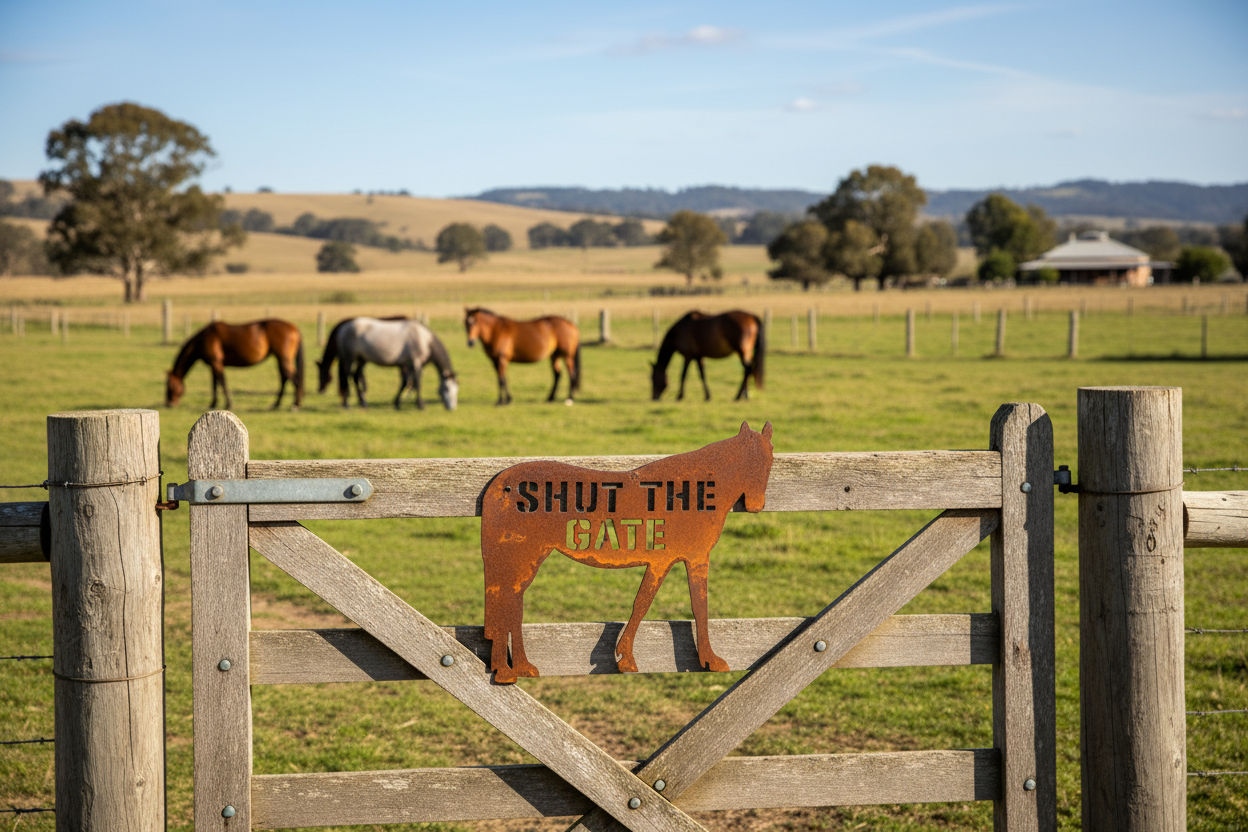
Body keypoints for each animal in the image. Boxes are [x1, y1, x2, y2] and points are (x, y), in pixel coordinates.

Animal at [166, 319, 303, 410]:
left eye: (170, 387)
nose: (169, 404)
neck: (204, 338)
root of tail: (294, 328)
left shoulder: (216, 363)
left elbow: (222, 382)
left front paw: (228, 404)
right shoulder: (213, 366)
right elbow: (215, 384)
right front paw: (213, 404)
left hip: (283, 359)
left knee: (294, 380)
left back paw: (295, 405)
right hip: (281, 360)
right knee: (285, 379)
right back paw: (276, 404)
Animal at [316, 317, 458, 410]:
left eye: (457, 390)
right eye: (447, 388)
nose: (452, 408)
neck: (424, 339)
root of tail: (343, 328)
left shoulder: (408, 365)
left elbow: (407, 383)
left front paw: (398, 403)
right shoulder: (415, 363)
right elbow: (417, 383)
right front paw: (420, 404)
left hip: (361, 360)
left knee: (355, 377)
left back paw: (363, 403)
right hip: (349, 359)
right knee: (346, 378)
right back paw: (347, 404)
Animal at [480, 421, 774, 683]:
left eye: (769, 460)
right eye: (749, 461)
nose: (756, 505)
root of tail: (502, 484)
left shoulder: (673, 560)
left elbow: (656, 602)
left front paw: (625, 657)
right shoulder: (684, 559)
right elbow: (677, 605)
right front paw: (629, 659)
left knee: (512, 606)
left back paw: (520, 667)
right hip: (521, 558)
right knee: (506, 605)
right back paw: (506, 671)